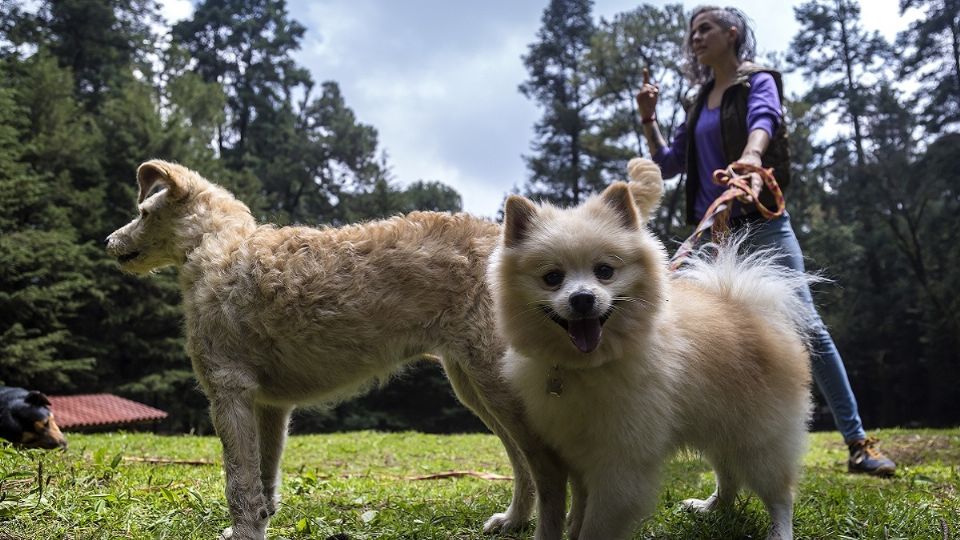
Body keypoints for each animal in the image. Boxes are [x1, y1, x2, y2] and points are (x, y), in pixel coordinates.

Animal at [105, 162, 568, 540]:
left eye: (144, 212)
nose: (108, 240)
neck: (216, 248)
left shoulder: (228, 390)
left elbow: (239, 483)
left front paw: (244, 533)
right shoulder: (269, 405)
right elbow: (263, 480)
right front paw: (259, 523)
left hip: (495, 382)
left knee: (547, 466)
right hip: (474, 384)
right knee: (523, 461)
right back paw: (513, 521)